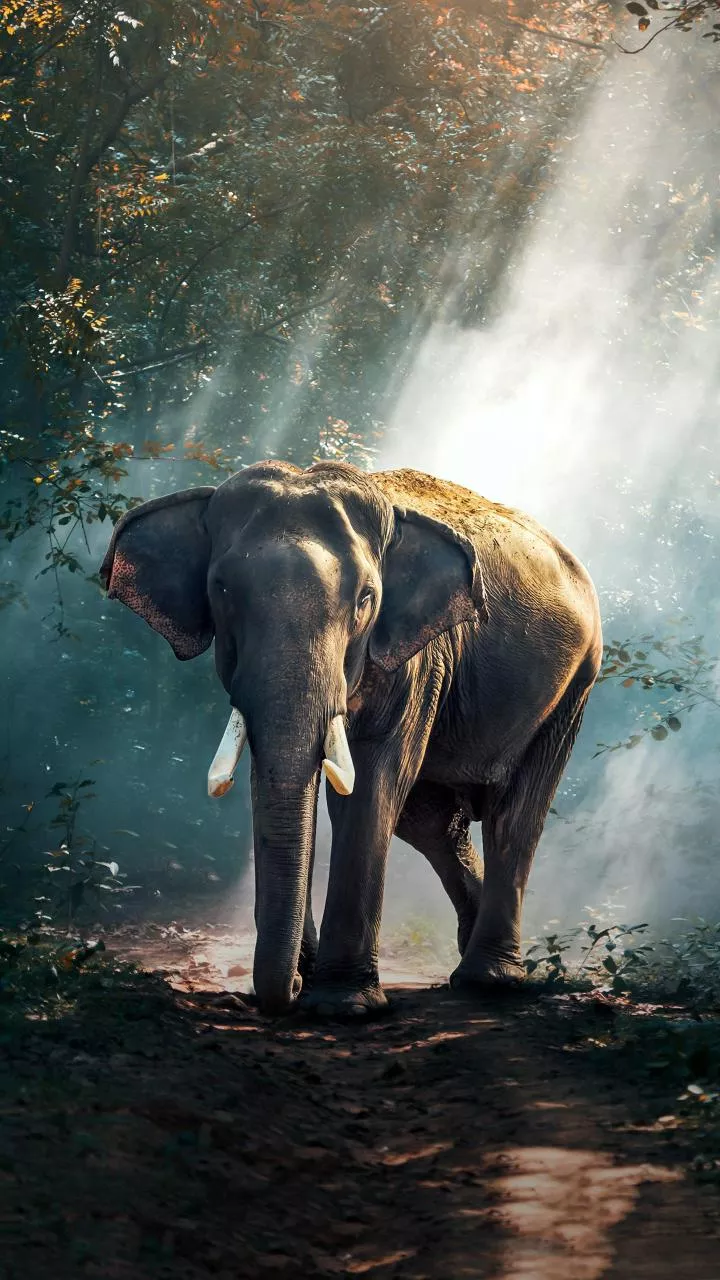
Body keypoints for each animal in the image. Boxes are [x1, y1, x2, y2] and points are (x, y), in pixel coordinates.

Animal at [100, 460, 602, 1017]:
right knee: (432, 823)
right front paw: (312, 981)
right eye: (222, 590)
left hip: (574, 686)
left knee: (514, 816)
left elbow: (371, 785)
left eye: (366, 598)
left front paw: (343, 1005)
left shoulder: (417, 659)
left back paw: (487, 980)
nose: (291, 987)